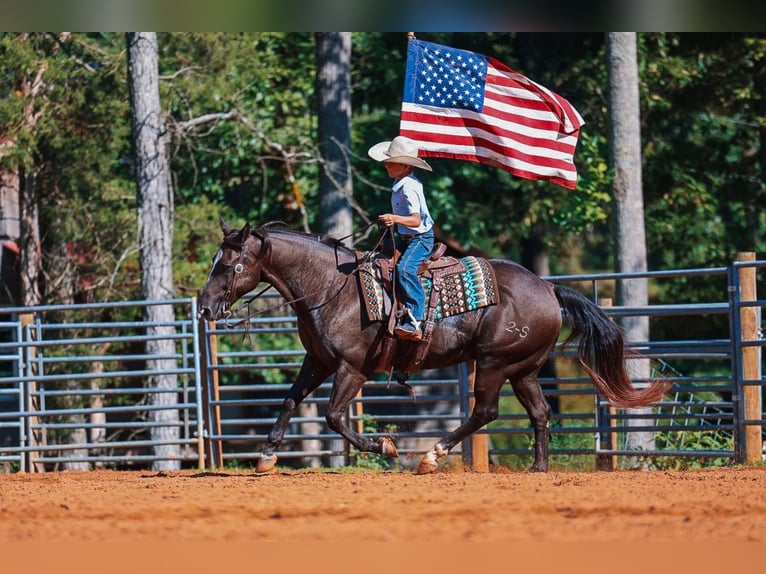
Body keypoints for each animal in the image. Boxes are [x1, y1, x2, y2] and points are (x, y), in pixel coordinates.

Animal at [198, 220, 669, 473]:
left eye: (230, 265)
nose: (204, 307)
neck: (332, 288)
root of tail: (549, 289)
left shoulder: (352, 369)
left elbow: (333, 416)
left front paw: (385, 447)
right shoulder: (318, 361)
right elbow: (290, 400)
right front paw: (265, 457)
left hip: (495, 364)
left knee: (485, 411)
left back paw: (431, 455)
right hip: (524, 369)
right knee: (539, 413)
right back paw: (538, 467)